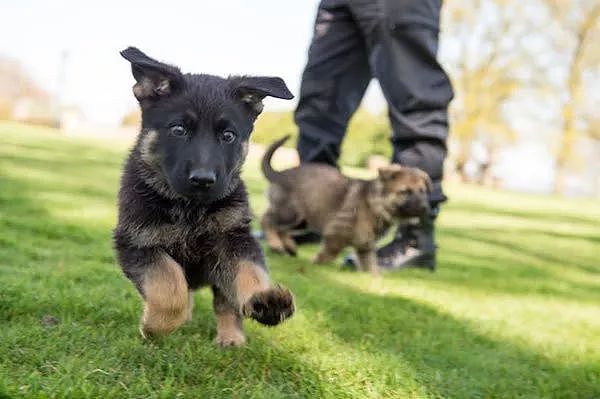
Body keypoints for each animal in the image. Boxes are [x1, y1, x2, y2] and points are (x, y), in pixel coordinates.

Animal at [113, 47, 296, 346]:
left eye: (228, 135)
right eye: (178, 130)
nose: (203, 180)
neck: (190, 208)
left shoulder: (235, 238)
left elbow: (249, 271)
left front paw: (265, 301)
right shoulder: (137, 243)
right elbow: (169, 284)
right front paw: (155, 326)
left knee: (225, 303)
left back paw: (231, 336)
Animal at [262, 137, 432, 276]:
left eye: (422, 191)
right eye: (405, 192)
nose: (425, 208)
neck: (376, 204)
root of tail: (281, 173)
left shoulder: (365, 245)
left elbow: (371, 265)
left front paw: (376, 280)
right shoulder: (337, 231)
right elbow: (330, 252)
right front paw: (317, 262)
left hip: (302, 221)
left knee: (281, 229)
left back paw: (288, 246)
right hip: (290, 213)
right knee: (268, 220)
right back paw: (276, 244)